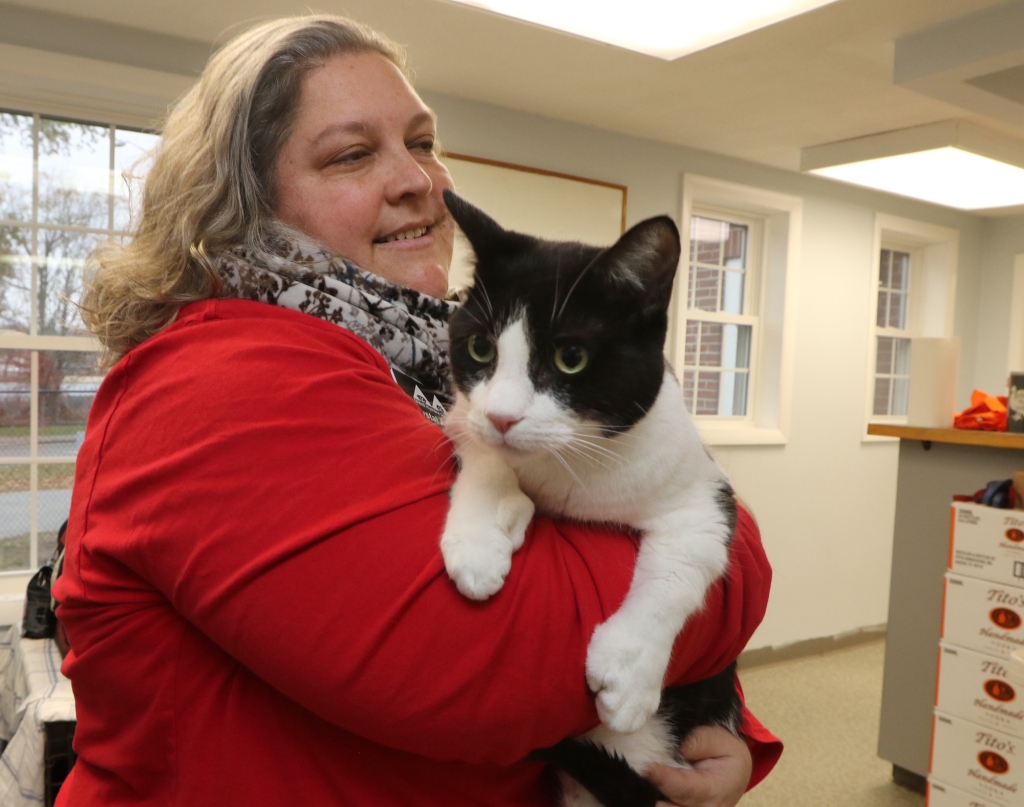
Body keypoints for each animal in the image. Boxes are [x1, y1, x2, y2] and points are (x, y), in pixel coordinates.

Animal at [436, 190, 741, 806]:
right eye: (479, 348)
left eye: (569, 358)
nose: (503, 417)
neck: (568, 467)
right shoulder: (465, 415)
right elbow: (476, 444)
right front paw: (480, 540)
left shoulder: (704, 495)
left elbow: (683, 564)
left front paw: (629, 669)